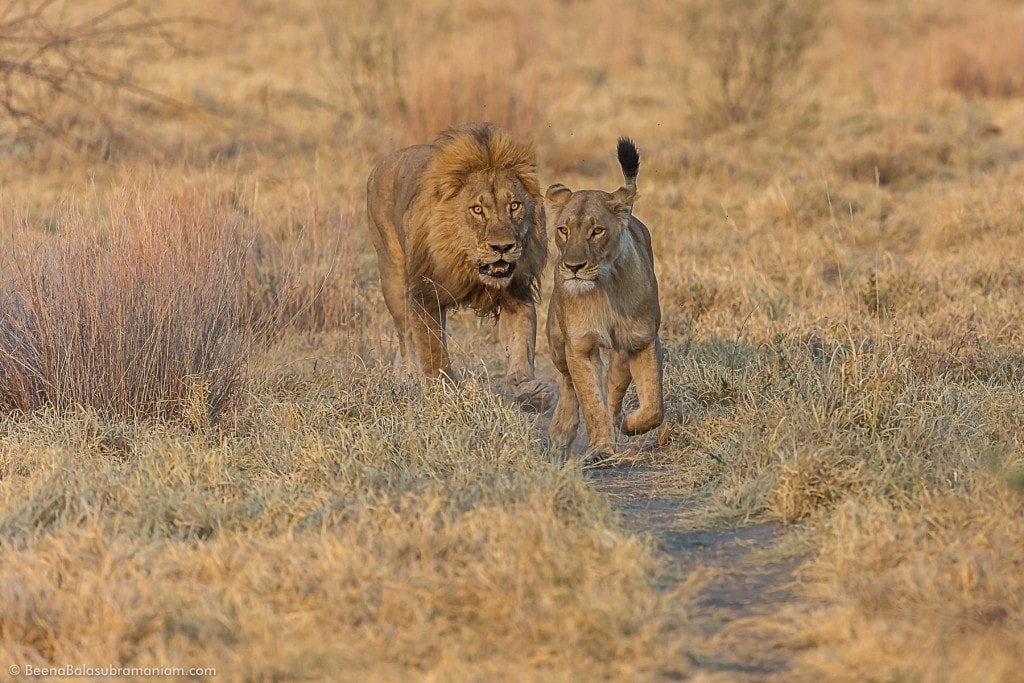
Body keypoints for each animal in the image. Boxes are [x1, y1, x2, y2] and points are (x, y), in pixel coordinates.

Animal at [364, 123, 548, 405]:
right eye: (477, 210)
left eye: (514, 206)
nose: (503, 247)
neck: (467, 266)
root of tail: (381, 164)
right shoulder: (425, 294)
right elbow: (432, 351)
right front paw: (446, 390)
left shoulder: (515, 293)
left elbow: (522, 342)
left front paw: (527, 387)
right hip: (392, 277)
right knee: (406, 336)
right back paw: (408, 376)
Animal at [544, 136, 663, 466]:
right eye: (563, 230)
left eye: (597, 231)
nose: (573, 266)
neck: (604, 287)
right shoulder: (579, 347)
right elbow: (589, 400)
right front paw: (600, 448)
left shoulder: (642, 340)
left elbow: (653, 404)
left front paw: (630, 424)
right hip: (557, 342)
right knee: (568, 383)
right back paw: (561, 431)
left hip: (621, 354)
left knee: (613, 388)